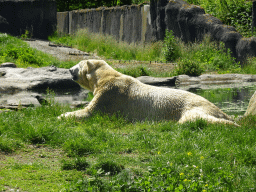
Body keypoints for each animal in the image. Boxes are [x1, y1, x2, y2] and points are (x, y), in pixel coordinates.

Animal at [58, 60, 238, 126]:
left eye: (78, 64)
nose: (69, 70)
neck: (105, 77)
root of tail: (220, 111)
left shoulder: (109, 94)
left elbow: (90, 112)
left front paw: (61, 115)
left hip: (192, 107)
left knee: (193, 119)